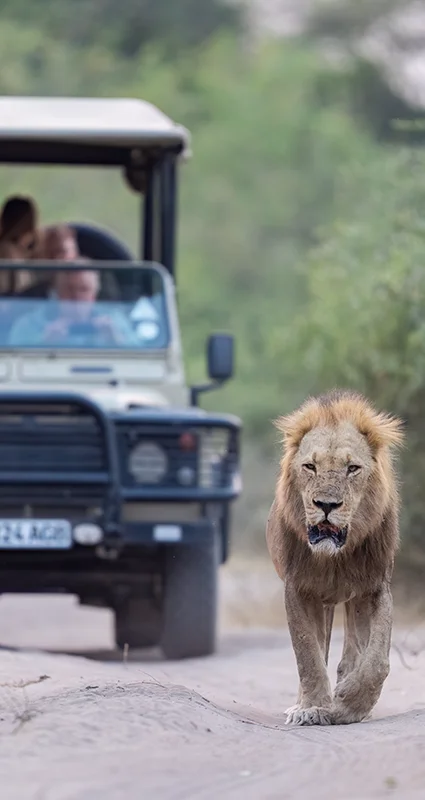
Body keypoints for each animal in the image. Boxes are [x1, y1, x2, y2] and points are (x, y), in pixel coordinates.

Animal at [266, 389, 403, 726]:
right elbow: (308, 655)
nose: (326, 505)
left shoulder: (375, 588)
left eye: (352, 468)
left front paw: (349, 703)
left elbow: (377, 660)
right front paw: (311, 708)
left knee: (354, 649)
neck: (334, 558)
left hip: (352, 600)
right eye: (310, 467)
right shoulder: (298, 589)